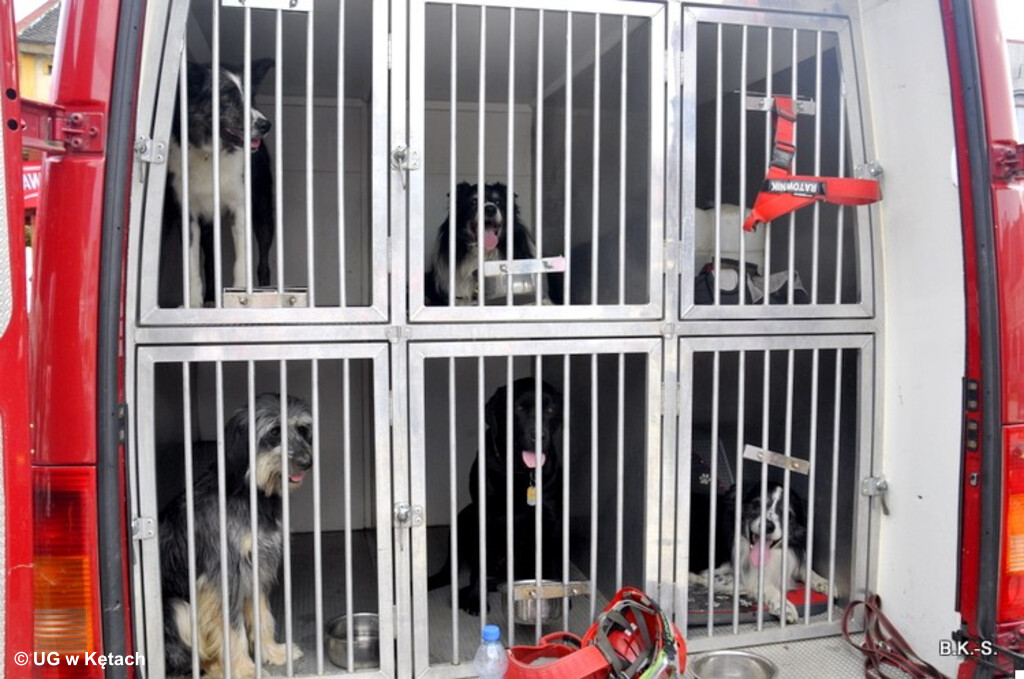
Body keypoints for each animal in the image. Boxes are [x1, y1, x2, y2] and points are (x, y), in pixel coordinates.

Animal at [160, 393, 312, 677]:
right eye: (274, 432)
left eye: (302, 429)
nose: (307, 462)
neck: (247, 493)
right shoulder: (223, 577)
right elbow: (232, 629)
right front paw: (245, 669)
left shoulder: (257, 567)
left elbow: (263, 617)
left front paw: (273, 652)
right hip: (175, 607)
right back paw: (218, 666)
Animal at [162, 59, 275, 308]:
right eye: (226, 96)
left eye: (251, 96)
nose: (266, 125)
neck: (211, 153)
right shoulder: (188, 214)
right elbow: (192, 266)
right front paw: (193, 304)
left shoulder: (241, 208)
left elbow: (242, 261)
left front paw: (244, 296)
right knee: (210, 263)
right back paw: (210, 298)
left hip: (264, 215)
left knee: (263, 263)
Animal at [428, 378, 563, 616]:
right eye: (518, 409)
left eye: (550, 409)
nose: (539, 436)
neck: (520, 473)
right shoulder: (484, 516)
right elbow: (479, 566)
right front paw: (475, 600)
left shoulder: (552, 517)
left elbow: (553, 558)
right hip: (463, 517)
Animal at [690, 482, 829, 623]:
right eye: (756, 505)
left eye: (788, 515)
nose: (768, 526)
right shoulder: (710, 572)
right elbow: (760, 581)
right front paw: (783, 605)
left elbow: (804, 569)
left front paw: (823, 582)